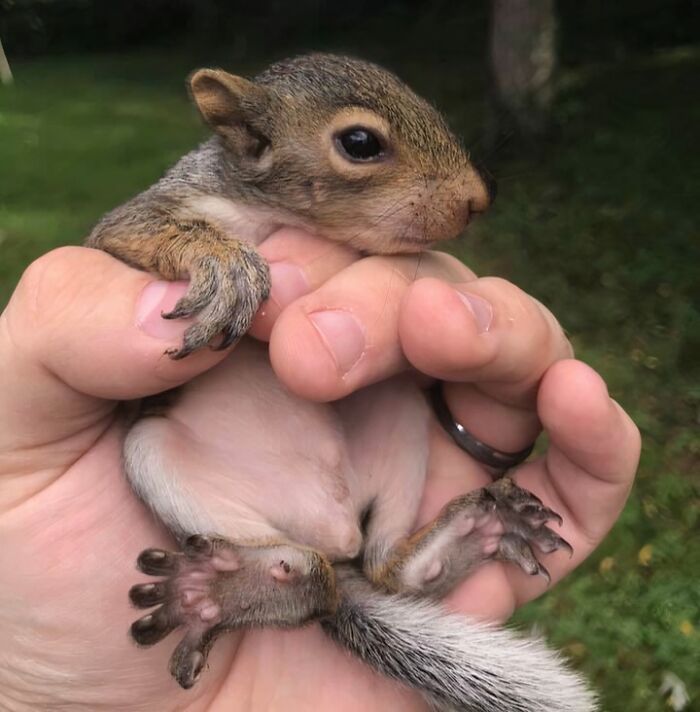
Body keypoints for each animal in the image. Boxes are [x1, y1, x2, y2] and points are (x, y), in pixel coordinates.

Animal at [86, 54, 597, 711]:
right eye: (359, 143)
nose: (478, 200)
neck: (274, 211)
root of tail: (332, 530)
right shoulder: (142, 216)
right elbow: (138, 230)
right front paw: (224, 263)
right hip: (159, 461)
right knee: (312, 581)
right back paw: (226, 590)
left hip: (398, 418)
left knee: (386, 570)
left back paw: (477, 528)